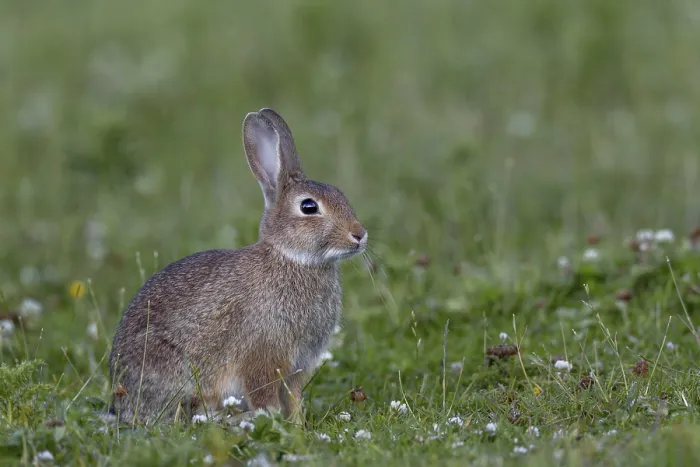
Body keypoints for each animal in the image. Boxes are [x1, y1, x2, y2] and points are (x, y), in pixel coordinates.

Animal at [108, 108, 367, 425]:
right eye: (309, 207)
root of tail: (121, 399)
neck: (292, 258)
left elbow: (293, 400)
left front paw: (297, 426)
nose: (359, 235)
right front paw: (273, 421)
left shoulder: (296, 368)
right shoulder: (262, 356)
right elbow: (265, 397)